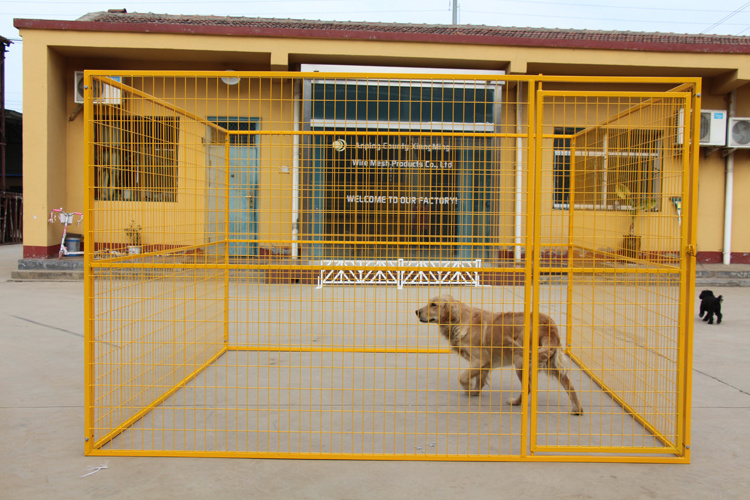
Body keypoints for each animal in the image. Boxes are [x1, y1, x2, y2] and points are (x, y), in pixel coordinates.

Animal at [418, 294, 588, 416]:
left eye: (434, 304)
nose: (416, 312)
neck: (459, 320)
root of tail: (548, 323)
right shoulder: (486, 363)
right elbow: (479, 379)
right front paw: (475, 392)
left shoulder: (480, 360)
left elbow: (463, 377)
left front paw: (468, 390)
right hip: (552, 363)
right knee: (570, 386)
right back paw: (577, 409)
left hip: (520, 362)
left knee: (527, 387)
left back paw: (515, 402)